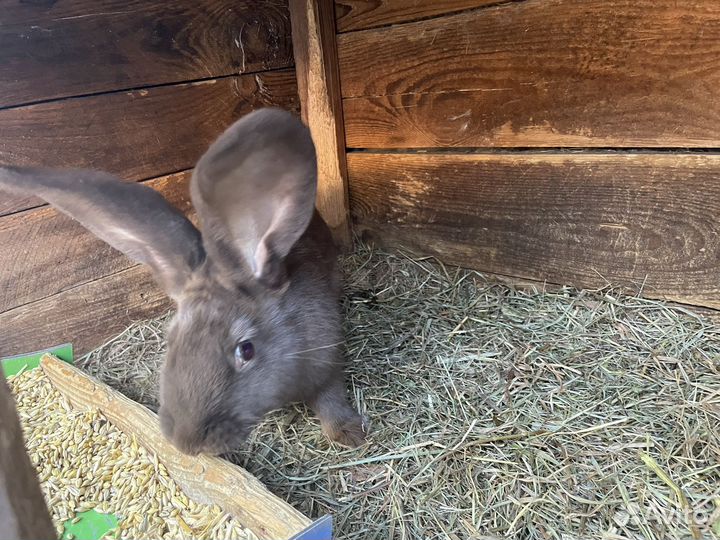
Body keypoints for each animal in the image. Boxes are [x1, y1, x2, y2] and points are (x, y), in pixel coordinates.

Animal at [0, 107, 367, 455]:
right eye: (171, 339)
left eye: (246, 350)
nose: (187, 444)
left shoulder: (326, 359)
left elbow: (330, 396)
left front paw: (349, 434)